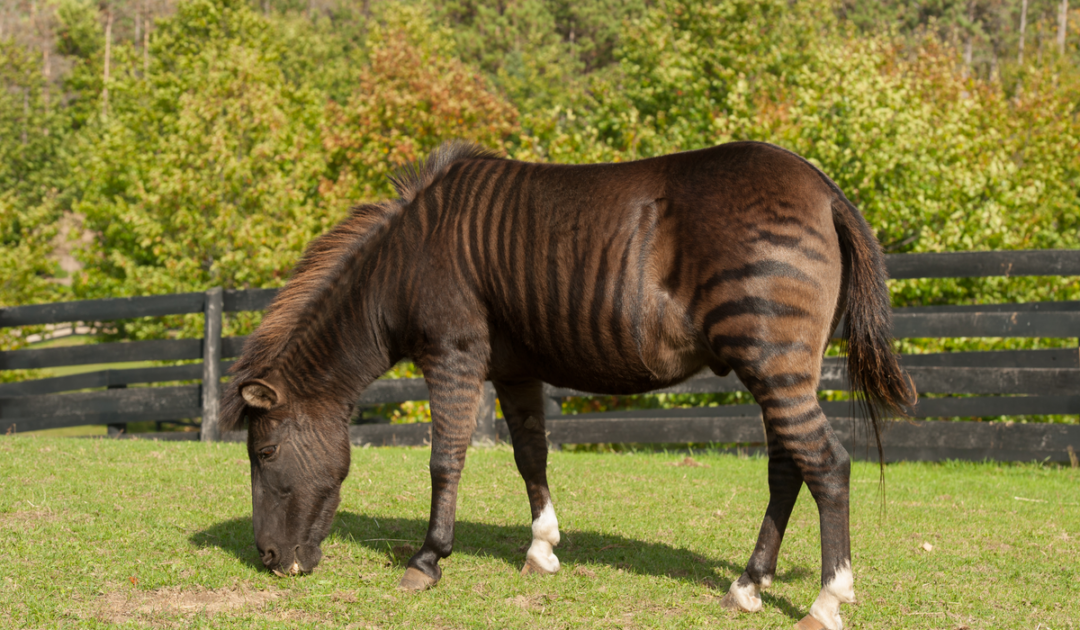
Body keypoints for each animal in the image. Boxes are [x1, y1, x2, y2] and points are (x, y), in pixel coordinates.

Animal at [220, 140, 915, 630]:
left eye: (265, 452)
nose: (269, 561)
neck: (405, 261)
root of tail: (824, 189)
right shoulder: (514, 367)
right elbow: (531, 455)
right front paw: (541, 548)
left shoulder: (453, 354)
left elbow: (446, 460)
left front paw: (426, 561)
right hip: (781, 365)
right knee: (787, 467)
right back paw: (747, 585)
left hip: (772, 357)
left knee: (827, 466)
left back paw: (826, 601)